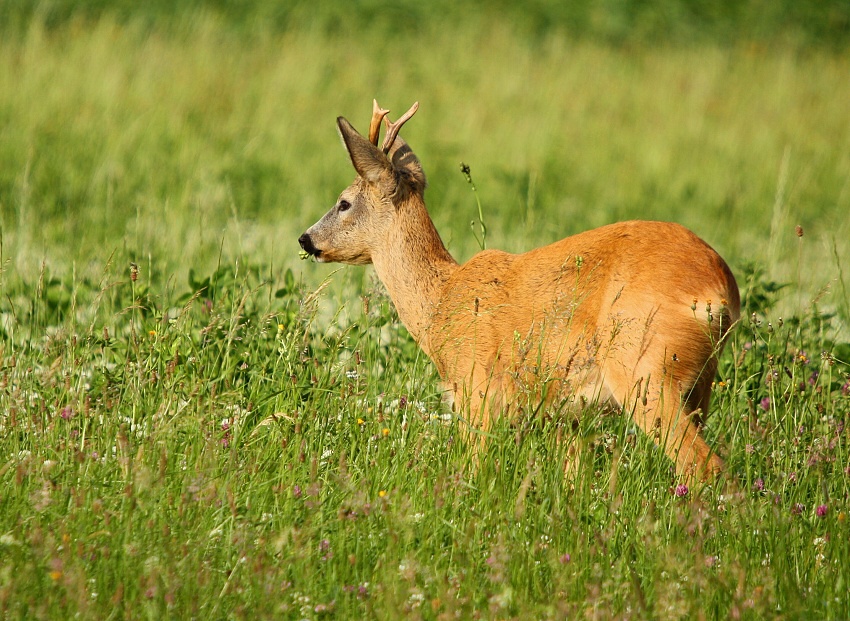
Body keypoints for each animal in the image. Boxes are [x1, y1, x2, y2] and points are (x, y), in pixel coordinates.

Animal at [300, 99, 736, 482]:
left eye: (343, 202)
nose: (306, 239)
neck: (440, 303)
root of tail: (718, 289)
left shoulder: (477, 392)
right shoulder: (570, 418)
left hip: (644, 369)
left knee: (704, 466)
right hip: (699, 384)